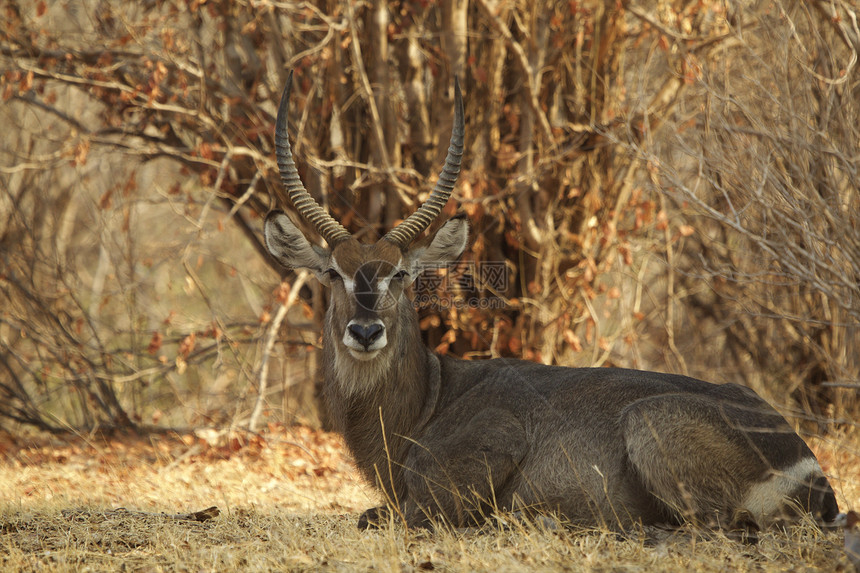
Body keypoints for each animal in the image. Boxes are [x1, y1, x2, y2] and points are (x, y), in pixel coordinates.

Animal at [264, 73, 840, 536]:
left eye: (402, 273)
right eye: (332, 272)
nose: (365, 331)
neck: (431, 399)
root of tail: (810, 471)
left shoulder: (485, 447)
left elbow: (389, 515)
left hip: (649, 423)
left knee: (717, 527)